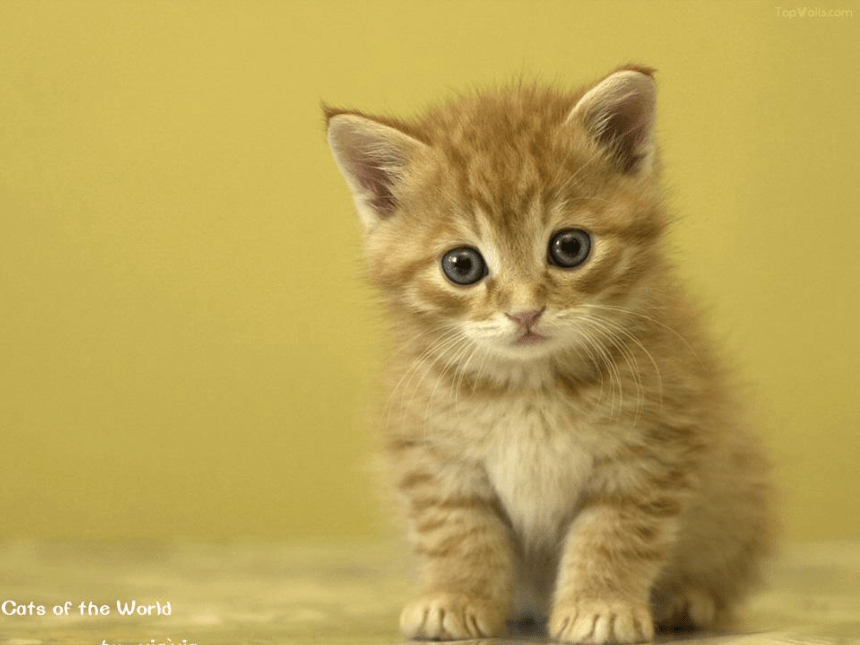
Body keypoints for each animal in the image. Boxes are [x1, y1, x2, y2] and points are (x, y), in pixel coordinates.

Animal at [322, 66, 772, 644]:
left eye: (570, 247)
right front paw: (457, 596)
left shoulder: (649, 452)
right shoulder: (436, 458)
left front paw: (600, 604)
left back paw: (688, 598)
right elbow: (458, 531)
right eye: (462, 265)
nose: (525, 313)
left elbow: (614, 533)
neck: (530, 386)